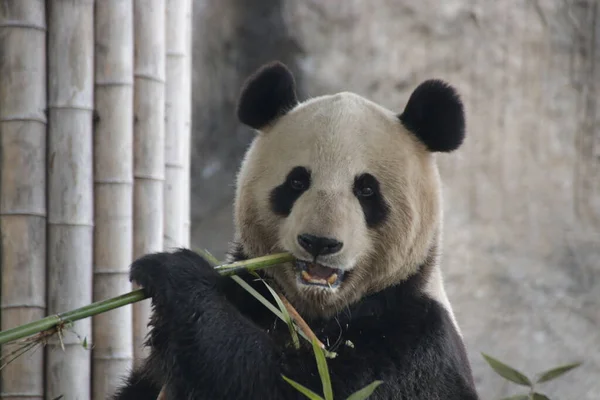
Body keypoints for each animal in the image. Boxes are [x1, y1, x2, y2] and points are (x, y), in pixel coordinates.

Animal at [112, 61, 478, 398]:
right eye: (297, 182)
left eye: (367, 190)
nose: (319, 242)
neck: (312, 312)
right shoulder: (252, 292)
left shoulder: (411, 340)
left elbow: (283, 383)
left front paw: (172, 272)